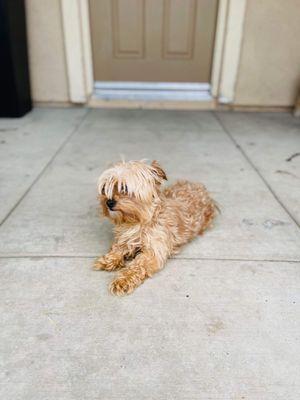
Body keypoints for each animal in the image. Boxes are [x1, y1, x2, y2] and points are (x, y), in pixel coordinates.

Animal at [94, 159, 216, 294]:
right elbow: (117, 249)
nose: (108, 202)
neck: (138, 221)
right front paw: (109, 260)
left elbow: (138, 266)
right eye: (105, 188)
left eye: (124, 188)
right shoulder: (124, 240)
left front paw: (123, 280)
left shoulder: (153, 253)